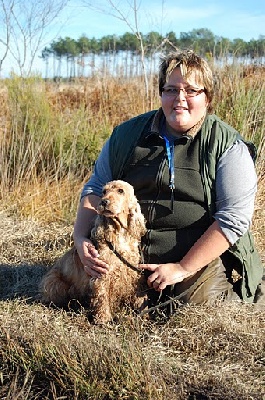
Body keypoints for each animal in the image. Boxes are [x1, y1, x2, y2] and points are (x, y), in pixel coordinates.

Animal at [39, 180, 147, 324]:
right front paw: (103, 319)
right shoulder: (102, 273)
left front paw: (144, 315)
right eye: (104, 191)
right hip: (53, 282)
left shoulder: (133, 272)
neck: (119, 232)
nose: (104, 202)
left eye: (120, 191)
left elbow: (138, 296)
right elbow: (102, 298)